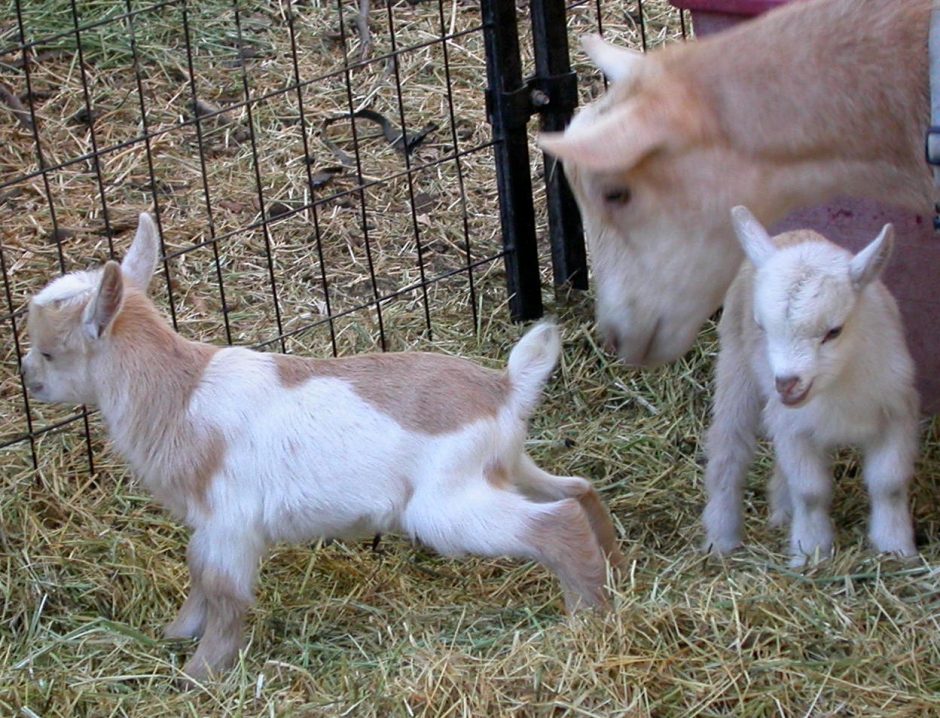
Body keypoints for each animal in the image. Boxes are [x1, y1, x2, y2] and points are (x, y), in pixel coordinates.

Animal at [21, 213, 624, 680]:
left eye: (50, 351)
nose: (28, 379)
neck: (179, 390)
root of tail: (505, 387)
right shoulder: (207, 524)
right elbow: (198, 576)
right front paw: (176, 632)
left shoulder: (229, 522)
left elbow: (224, 593)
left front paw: (199, 674)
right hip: (508, 466)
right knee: (577, 489)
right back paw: (615, 570)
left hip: (445, 505)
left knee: (557, 521)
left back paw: (586, 619)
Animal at [702, 206, 919, 566]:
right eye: (761, 326)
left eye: (834, 331)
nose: (786, 384)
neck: (840, 388)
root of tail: (792, 235)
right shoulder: (793, 427)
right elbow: (810, 492)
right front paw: (811, 552)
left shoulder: (896, 413)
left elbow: (888, 485)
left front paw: (897, 548)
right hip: (735, 364)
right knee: (729, 447)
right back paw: (721, 538)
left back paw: (781, 512)